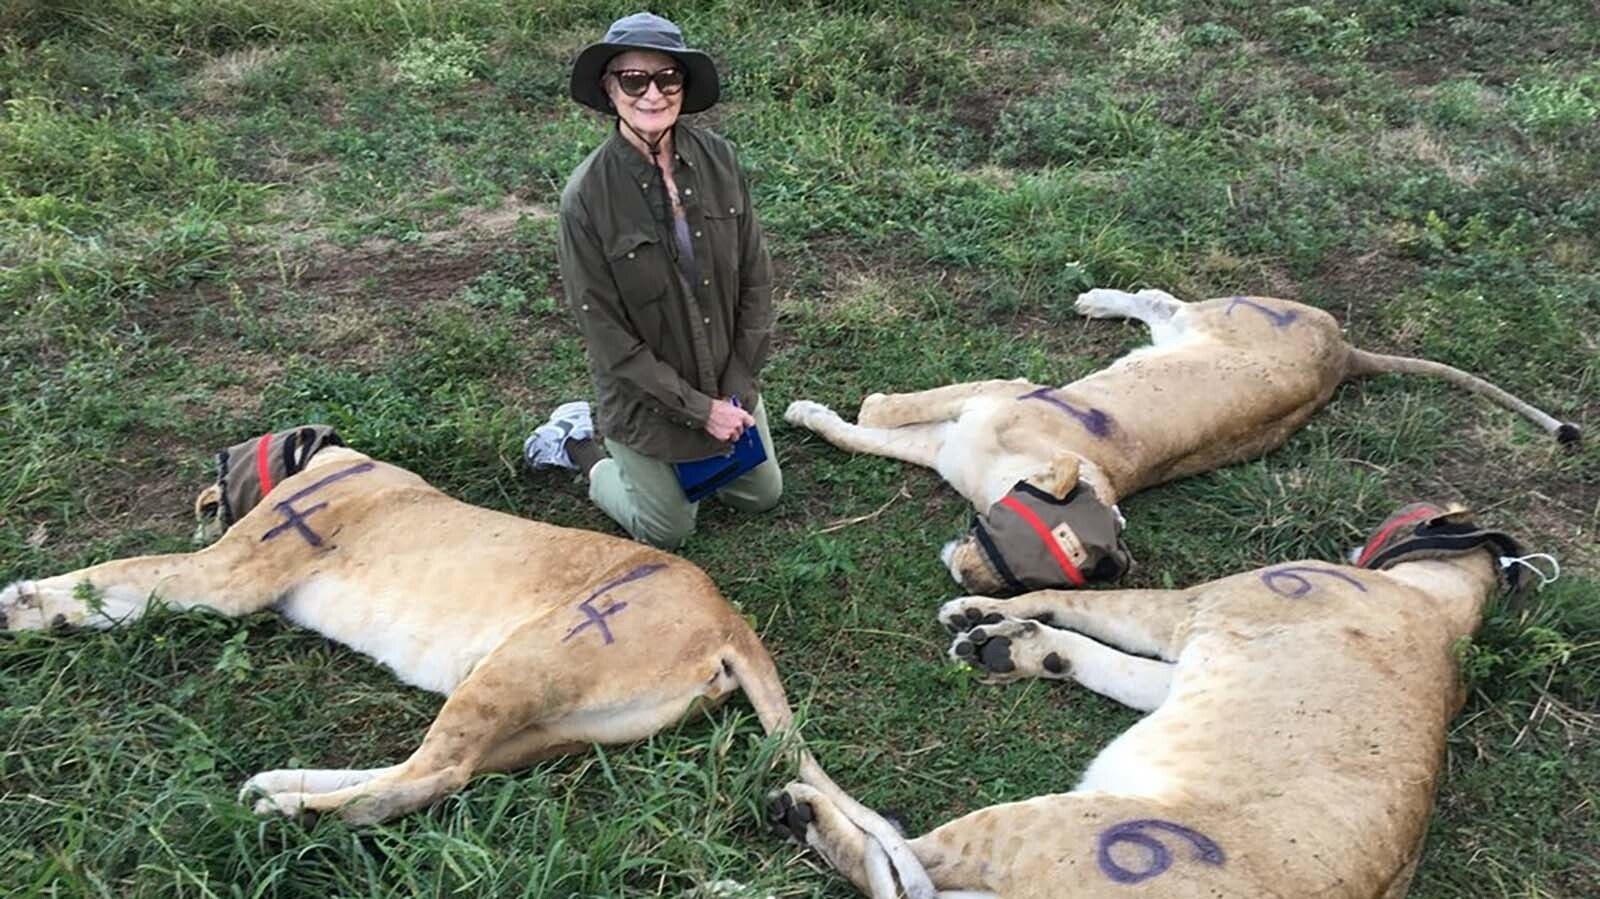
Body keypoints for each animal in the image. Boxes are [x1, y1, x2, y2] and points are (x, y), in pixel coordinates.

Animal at [0, 430, 935, 899]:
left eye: (207, 497)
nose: (201, 505)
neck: (326, 457)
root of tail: (729, 614)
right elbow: (118, 589)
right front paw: (41, 608)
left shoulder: (225, 577)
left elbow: (122, 572)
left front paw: (22, 598)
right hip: (546, 721)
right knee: (436, 772)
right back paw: (282, 785)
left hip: (520, 663)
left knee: (429, 776)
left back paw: (285, 811)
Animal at [770, 503, 1546, 899]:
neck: (1449, 612)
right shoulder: (1180, 666)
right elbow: (1107, 659)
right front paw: (1013, 644)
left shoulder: (1188, 608)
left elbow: (1090, 600)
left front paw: (987, 610)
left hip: (1057, 827)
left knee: (902, 859)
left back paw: (802, 807)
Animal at [785, 289, 1578, 595]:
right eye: (1025, 532)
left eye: (1038, 574)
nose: (961, 573)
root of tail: (1345, 353)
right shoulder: (991, 396)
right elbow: (880, 418)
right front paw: (823, 408)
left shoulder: (957, 433)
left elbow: (870, 435)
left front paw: (816, 411)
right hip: (1217, 315)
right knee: (1161, 299)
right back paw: (1096, 301)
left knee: (1161, 304)